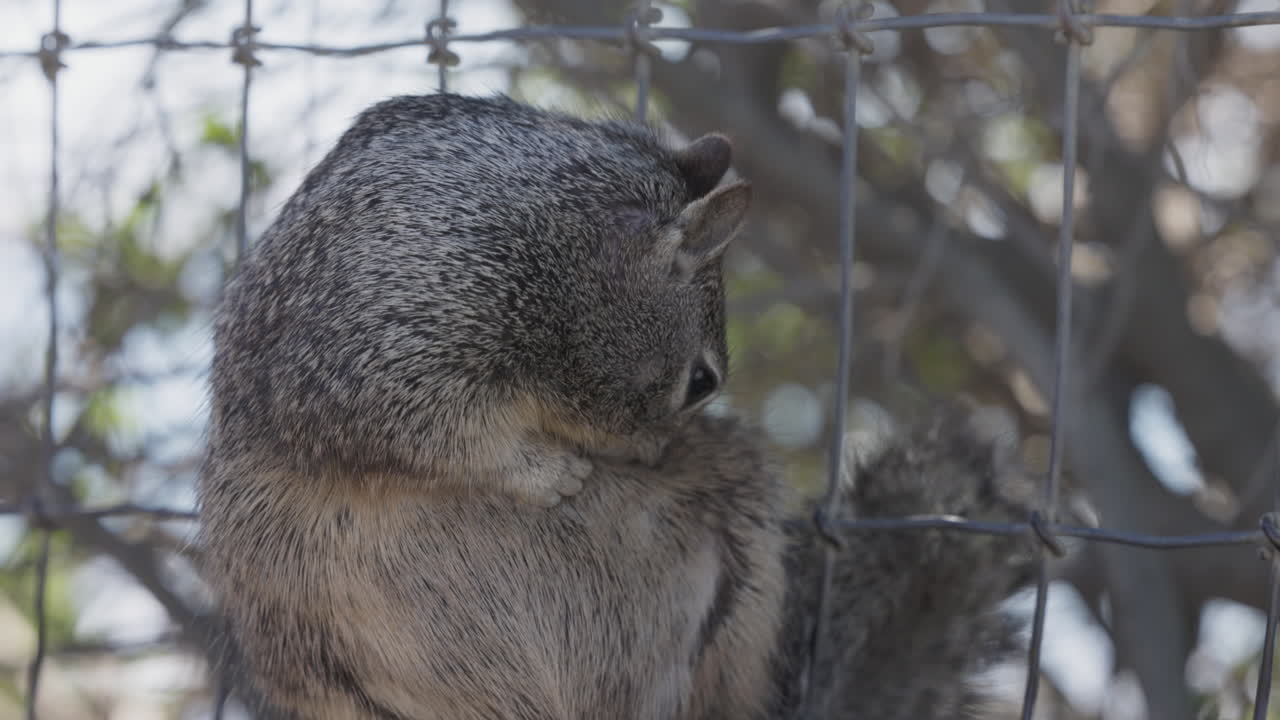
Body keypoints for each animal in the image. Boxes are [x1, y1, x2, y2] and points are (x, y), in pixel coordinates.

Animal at [198, 93, 1037, 719]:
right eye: (701, 381)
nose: (650, 456)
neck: (551, 236)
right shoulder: (391, 341)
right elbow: (442, 439)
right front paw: (546, 473)